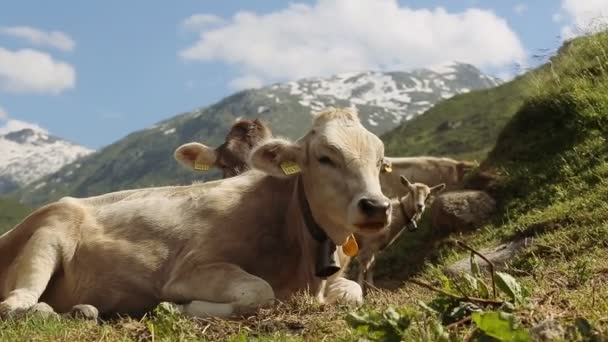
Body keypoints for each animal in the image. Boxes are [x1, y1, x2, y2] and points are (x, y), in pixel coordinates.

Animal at [0, 107, 400, 320]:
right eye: (325, 157)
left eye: (381, 160)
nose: (377, 206)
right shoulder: (189, 270)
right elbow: (259, 291)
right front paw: (174, 308)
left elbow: (353, 292)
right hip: (49, 234)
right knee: (15, 304)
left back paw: (83, 310)